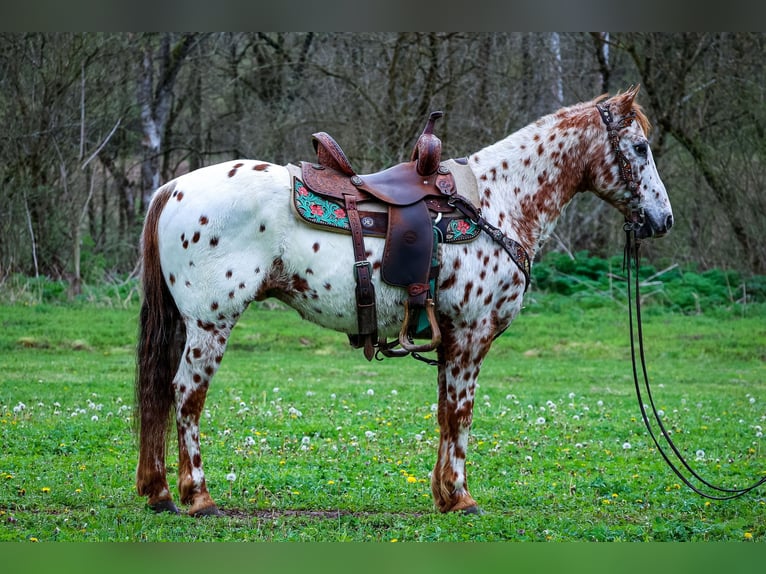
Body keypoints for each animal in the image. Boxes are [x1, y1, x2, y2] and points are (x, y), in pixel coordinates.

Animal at [135, 85, 676, 516]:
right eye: (640, 147)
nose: (663, 218)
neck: (496, 202)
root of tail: (173, 186)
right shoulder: (470, 336)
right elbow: (460, 413)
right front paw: (461, 497)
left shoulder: (450, 338)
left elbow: (444, 412)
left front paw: (443, 495)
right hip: (210, 325)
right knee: (186, 395)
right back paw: (197, 496)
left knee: (160, 391)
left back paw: (159, 492)